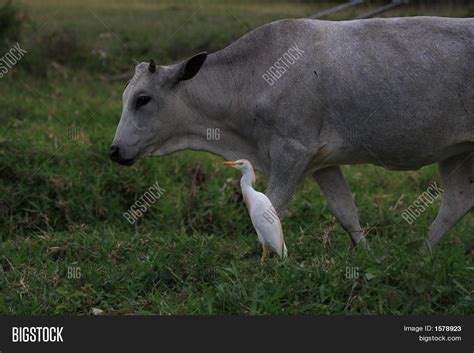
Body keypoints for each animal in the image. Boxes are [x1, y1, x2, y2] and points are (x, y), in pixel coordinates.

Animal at [109, 17, 472, 248]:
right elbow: (346, 212)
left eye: (142, 99)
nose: (114, 150)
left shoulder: (291, 151)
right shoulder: (324, 162)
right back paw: (423, 256)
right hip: (456, 153)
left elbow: (272, 208)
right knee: (457, 203)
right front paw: (368, 257)